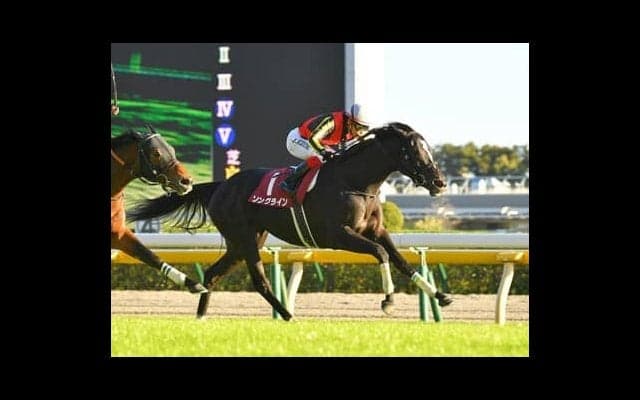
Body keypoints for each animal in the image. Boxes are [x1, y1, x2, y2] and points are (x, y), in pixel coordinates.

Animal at [111, 125, 207, 294]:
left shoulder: (118, 234)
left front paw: (194, 284)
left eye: (172, 149)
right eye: (156, 153)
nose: (187, 181)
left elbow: (150, 256)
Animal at [127, 122, 453, 320]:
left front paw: (440, 295)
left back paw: (201, 315)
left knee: (212, 273)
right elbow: (382, 254)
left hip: (243, 242)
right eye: (415, 150)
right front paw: (388, 301)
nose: (439, 182)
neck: (356, 182)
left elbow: (401, 260)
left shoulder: (376, 230)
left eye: (428, 148)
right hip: (245, 240)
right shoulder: (338, 235)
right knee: (259, 281)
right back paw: (287, 315)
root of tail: (220, 185)